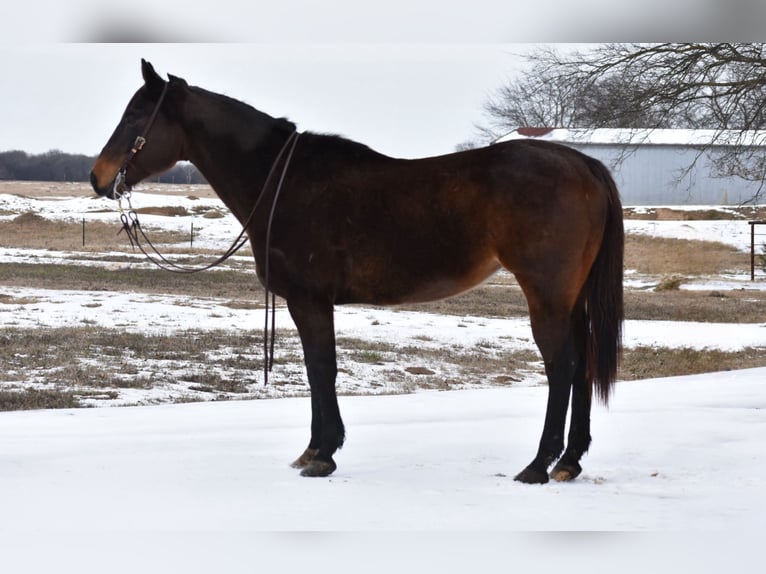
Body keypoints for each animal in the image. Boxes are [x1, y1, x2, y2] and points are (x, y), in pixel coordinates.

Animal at [90, 59, 624, 484]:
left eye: (137, 114)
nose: (98, 178)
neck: (283, 181)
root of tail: (583, 164)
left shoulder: (309, 300)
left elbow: (321, 369)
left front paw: (322, 455)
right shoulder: (309, 303)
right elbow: (316, 371)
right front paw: (313, 450)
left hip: (547, 296)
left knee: (562, 368)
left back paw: (537, 466)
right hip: (570, 298)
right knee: (581, 365)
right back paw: (569, 462)